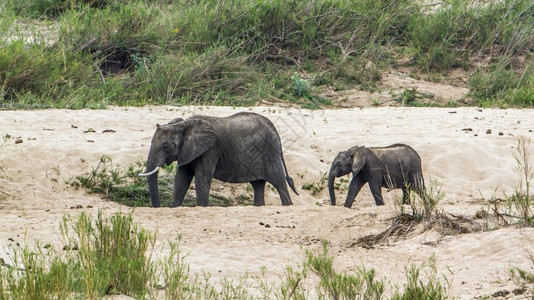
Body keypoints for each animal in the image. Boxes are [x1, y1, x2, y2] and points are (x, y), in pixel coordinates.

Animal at [138, 111, 300, 207]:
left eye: (165, 145)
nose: (159, 207)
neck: (183, 125)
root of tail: (275, 130)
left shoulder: (210, 150)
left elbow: (202, 177)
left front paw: (202, 207)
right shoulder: (188, 151)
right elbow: (181, 178)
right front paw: (175, 207)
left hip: (270, 152)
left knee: (279, 181)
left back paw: (288, 205)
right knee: (258, 185)